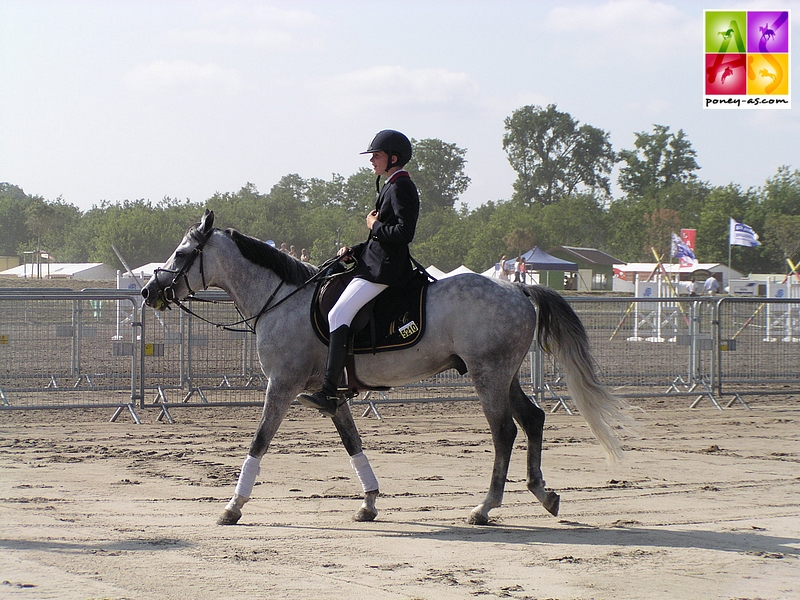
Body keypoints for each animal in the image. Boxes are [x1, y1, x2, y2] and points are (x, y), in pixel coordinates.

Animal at [144, 211, 632, 524]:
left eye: (182, 253)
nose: (150, 290)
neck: (281, 299)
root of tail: (517, 289)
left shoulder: (280, 386)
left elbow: (259, 442)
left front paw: (233, 506)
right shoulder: (331, 395)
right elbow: (352, 443)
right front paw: (370, 502)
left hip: (488, 375)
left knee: (505, 432)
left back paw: (485, 507)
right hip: (505, 374)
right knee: (533, 419)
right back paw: (544, 495)